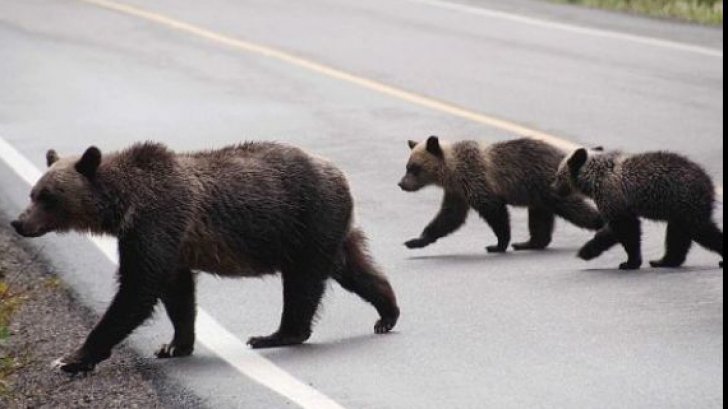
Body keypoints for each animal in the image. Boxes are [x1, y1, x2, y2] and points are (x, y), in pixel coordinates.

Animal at [11, 142, 400, 372]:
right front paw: (174, 344)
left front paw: (72, 357)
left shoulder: (157, 222)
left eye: (47, 196)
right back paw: (387, 312)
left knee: (303, 281)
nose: (18, 221)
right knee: (354, 269)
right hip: (328, 228)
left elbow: (137, 291)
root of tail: (341, 174)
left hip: (306, 219)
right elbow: (177, 292)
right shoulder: (166, 241)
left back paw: (276, 334)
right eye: (34, 193)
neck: (124, 205)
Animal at [398, 137, 604, 252]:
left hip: (548, 185)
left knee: (575, 210)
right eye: (407, 166)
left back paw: (602, 224)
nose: (401, 183)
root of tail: (565, 157)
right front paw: (416, 240)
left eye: (414, 168)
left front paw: (498, 244)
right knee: (539, 218)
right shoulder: (457, 192)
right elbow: (449, 216)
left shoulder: (477, 181)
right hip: (538, 194)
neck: (452, 172)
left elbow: (495, 212)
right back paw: (527, 243)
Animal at [556, 148, 724, 270]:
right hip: (679, 210)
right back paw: (663, 261)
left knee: (700, 230)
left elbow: (625, 229)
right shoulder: (622, 204)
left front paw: (628, 262)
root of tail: (709, 183)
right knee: (677, 235)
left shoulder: (612, 196)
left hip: (686, 201)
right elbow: (624, 229)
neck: (593, 178)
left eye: (558, 175)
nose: (553, 187)